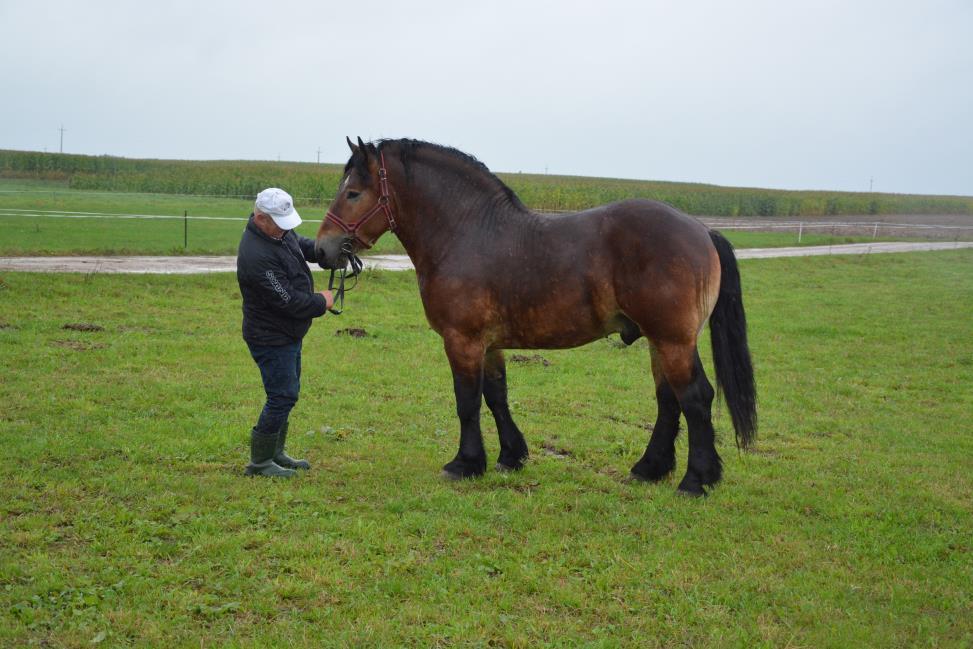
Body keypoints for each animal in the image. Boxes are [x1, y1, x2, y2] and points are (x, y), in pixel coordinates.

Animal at [316, 134, 756, 494]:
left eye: (353, 192)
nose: (321, 249)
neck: (467, 233)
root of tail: (702, 230)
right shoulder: (488, 344)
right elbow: (496, 396)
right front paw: (510, 456)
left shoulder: (462, 339)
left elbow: (467, 401)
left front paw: (465, 463)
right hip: (660, 340)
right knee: (669, 399)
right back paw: (649, 469)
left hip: (672, 339)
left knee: (694, 398)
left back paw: (696, 480)